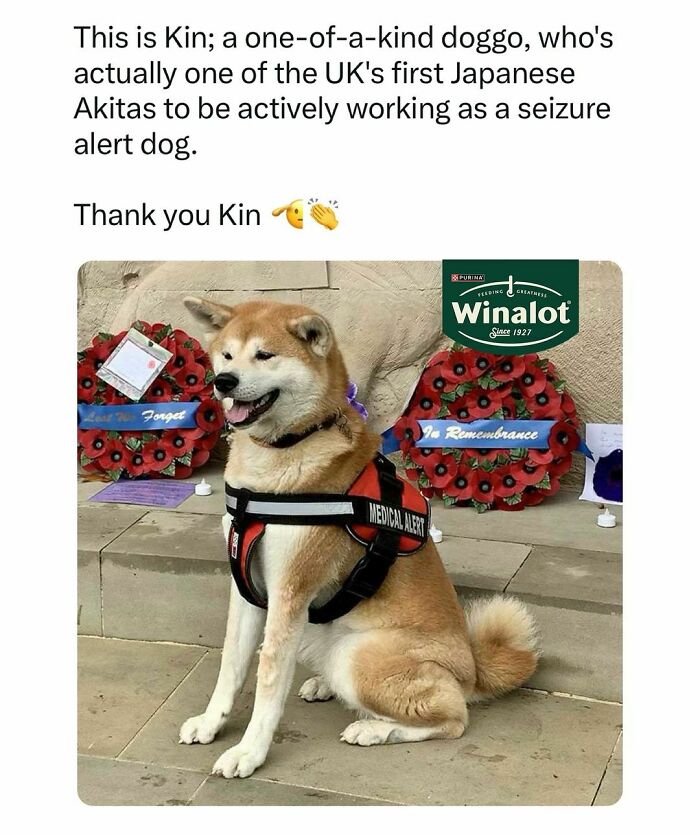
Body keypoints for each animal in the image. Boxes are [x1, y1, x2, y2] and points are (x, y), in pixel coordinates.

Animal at [178, 298, 540, 780]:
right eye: (227, 355)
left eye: (265, 355)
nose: (224, 382)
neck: (282, 455)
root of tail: (472, 669)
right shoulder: (248, 585)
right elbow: (232, 665)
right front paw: (211, 722)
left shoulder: (289, 591)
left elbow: (268, 679)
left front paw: (249, 751)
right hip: (319, 635)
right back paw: (322, 686)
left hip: (357, 655)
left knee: (453, 717)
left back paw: (373, 729)